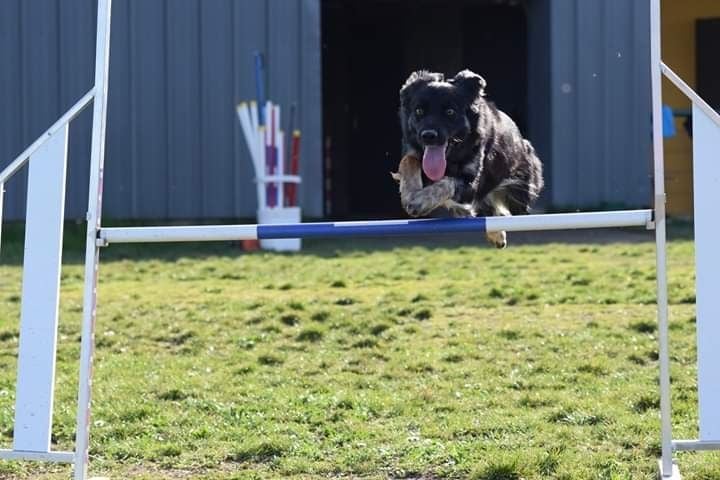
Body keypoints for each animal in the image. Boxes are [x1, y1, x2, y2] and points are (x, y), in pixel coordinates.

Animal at [394, 70, 540, 249]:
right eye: (419, 111)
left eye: (450, 112)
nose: (428, 136)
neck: (451, 158)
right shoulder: (415, 153)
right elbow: (408, 161)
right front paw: (410, 192)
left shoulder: (471, 183)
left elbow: (447, 183)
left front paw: (420, 201)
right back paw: (495, 233)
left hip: (518, 195)